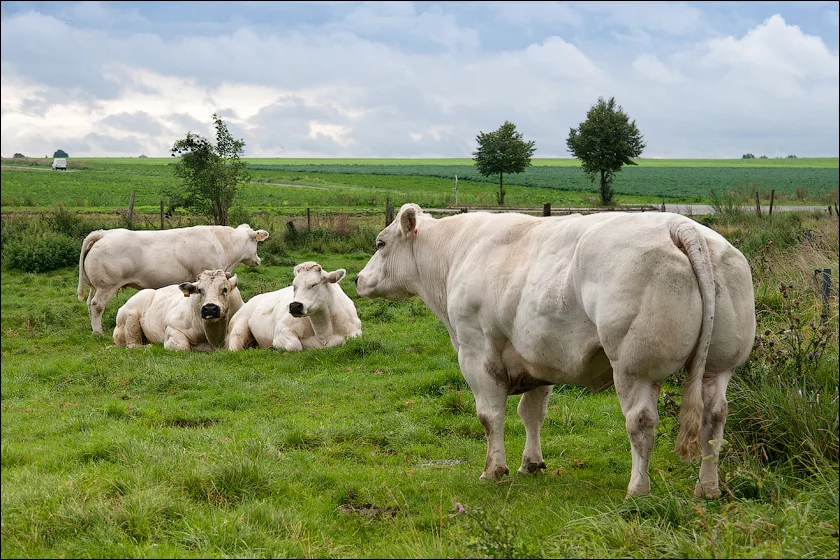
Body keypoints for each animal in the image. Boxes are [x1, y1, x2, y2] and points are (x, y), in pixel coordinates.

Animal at [77, 225, 270, 334]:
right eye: (256, 243)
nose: (258, 260)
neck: (222, 244)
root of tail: (103, 234)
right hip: (105, 286)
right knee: (97, 305)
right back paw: (98, 331)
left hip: (94, 286)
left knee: (89, 303)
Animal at [112, 266, 243, 350]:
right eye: (200, 290)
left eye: (225, 289)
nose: (210, 308)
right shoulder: (173, 328)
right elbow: (183, 347)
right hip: (130, 318)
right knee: (132, 344)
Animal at [226, 262, 360, 350]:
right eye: (294, 285)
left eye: (314, 284)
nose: (295, 306)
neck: (323, 332)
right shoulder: (281, 329)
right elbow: (295, 345)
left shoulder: (356, 331)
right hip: (238, 327)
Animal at [354, 202, 756, 498]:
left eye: (380, 244)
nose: (358, 279)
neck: (457, 254)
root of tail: (680, 225)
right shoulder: (537, 357)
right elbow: (532, 413)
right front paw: (531, 463)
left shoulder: (475, 351)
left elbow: (490, 416)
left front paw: (494, 470)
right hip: (719, 366)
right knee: (714, 418)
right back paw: (707, 488)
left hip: (633, 366)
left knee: (641, 422)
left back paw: (637, 489)